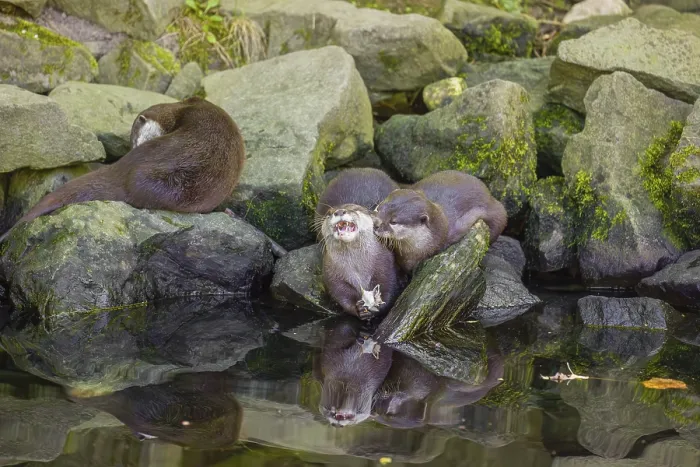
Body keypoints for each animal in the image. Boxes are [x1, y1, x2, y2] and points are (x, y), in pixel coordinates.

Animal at [317, 168, 405, 320]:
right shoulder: (330, 272)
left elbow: (389, 285)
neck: (358, 269)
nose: (339, 211)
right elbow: (340, 293)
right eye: (329, 213)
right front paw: (358, 308)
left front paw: (379, 305)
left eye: (354, 209)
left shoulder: (385, 261)